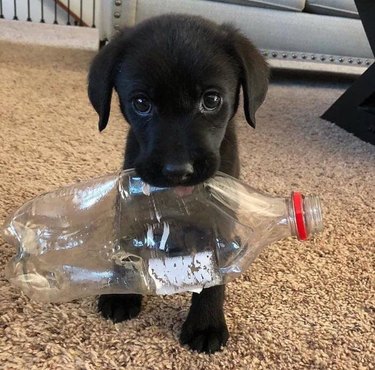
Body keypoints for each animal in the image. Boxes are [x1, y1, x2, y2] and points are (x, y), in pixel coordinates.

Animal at [88, 13, 270, 352]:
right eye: (141, 103)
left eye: (211, 100)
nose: (177, 171)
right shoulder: (132, 204)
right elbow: (127, 248)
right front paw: (121, 294)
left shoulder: (218, 221)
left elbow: (214, 279)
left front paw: (205, 324)